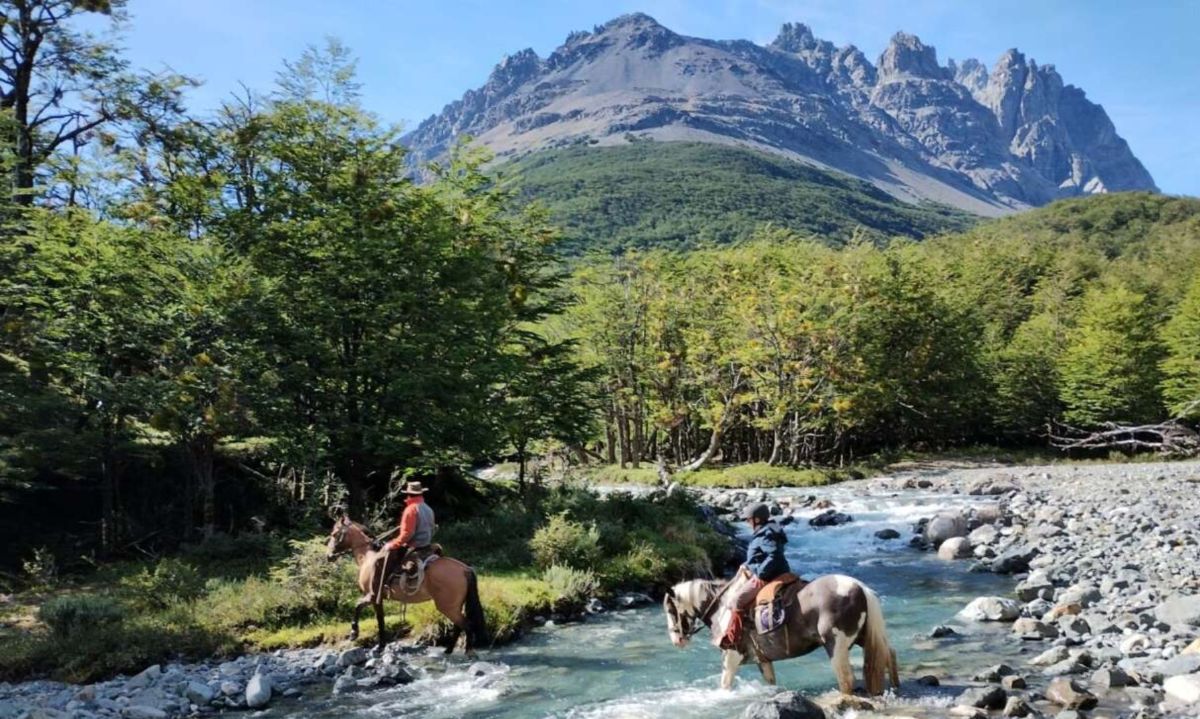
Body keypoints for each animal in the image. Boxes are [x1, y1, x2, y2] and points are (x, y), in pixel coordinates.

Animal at [324, 513, 487, 657]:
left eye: (334, 534)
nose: (329, 556)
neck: (367, 558)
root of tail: (465, 569)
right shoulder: (376, 598)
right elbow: (377, 618)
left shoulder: (372, 596)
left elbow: (365, 611)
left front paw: (357, 635)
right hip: (454, 606)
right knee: (459, 626)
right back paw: (449, 650)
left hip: (447, 606)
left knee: (466, 625)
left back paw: (468, 651)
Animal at [667, 573, 902, 696]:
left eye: (670, 610)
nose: (677, 640)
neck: (722, 608)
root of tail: (860, 587)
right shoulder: (763, 659)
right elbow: (770, 682)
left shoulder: (731, 656)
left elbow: (725, 685)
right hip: (863, 636)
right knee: (889, 654)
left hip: (836, 645)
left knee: (846, 678)